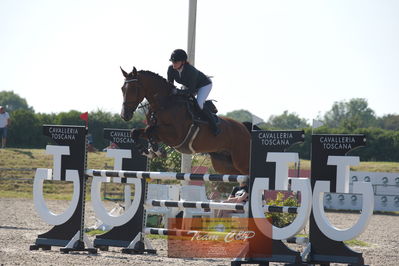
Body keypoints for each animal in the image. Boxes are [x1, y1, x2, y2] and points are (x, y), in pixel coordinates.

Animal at [119, 66, 250, 176]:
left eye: (133, 89)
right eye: (122, 89)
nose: (124, 115)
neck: (164, 104)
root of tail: (244, 129)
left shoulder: (175, 135)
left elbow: (150, 129)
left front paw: (158, 151)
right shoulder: (160, 134)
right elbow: (136, 131)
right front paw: (148, 152)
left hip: (241, 161)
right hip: (224, 165)